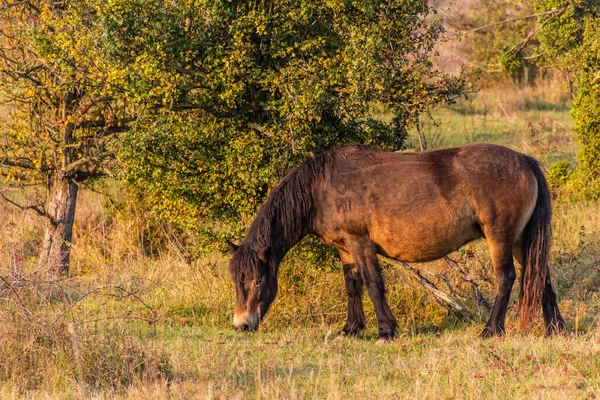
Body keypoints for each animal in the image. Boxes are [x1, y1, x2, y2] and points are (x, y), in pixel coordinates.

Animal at [227, 142, 564, 340]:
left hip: (501, 238)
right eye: (236, 282)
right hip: (521, 240)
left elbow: (373, 285)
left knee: (506, 277)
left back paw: (491, 330)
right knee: (540, 276)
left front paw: (386, 331)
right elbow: (353, 287)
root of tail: (524, 160)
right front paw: (350, 329)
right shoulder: (345, 249)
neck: (321, 187)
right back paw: (554, 328)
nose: (242, 324)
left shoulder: (360, 244)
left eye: (258, 281)